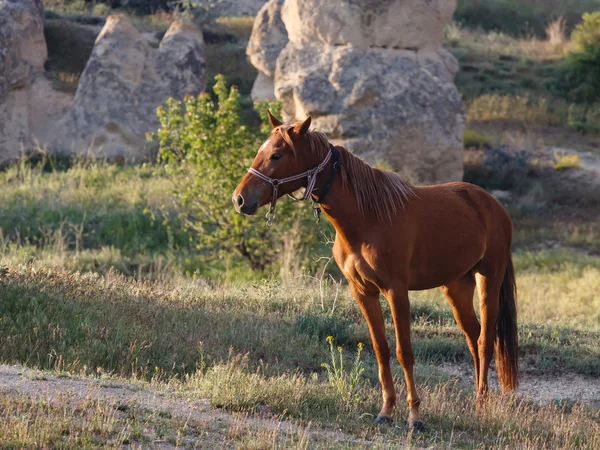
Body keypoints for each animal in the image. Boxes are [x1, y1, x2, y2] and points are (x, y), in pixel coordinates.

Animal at [232, 112, 516, 428]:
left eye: (277, 155)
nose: (240, 199)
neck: (368, 218)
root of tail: (494, 206)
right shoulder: (364, 292)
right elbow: (381, 349)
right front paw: (386, 410)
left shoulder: (396, 291)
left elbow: (405, 352)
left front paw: (415, 416)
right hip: (456, 286)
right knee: (473, 337)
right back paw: (477, 400)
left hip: (489, 279)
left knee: (485, 341)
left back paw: (481, 404)